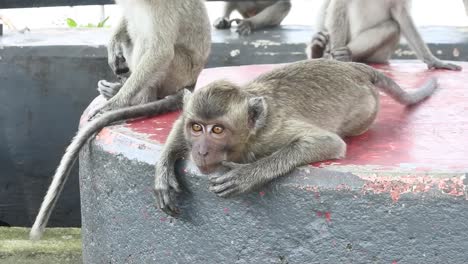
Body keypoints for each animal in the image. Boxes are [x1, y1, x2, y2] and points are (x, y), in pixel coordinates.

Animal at [29, 0, 210, 240]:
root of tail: (192, 81)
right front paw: (113, 43)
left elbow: (160, 51)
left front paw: (116, 103)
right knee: (132, 33)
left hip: (178, 71)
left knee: (152, 46)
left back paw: (138, 98)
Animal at [154, 58, 438, 216]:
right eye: (196, 128)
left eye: (217, 130)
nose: (200, 151)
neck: (250, 135)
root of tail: (355, 69)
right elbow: (178, 121)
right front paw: (163, 173)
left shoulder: (270, 134)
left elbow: (328, 142)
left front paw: (248, 174)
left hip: (366, 111)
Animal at [306, 0, 462, 71]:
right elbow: (339, 3)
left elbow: (401, 13)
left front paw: (434, 61)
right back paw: (317, 51)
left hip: (381, 55)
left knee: (393, 27)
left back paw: (345, 54)